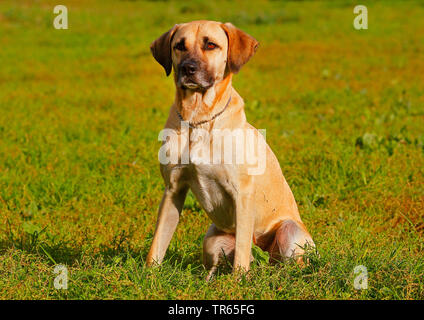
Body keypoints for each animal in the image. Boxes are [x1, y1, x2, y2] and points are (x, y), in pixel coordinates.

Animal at [147, 20, 314, 280]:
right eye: (179, 46)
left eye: (211, 45)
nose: (188, 68)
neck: (199, 119)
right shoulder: (173, 189)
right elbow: (157, 242)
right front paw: (148, 276)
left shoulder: (242, 194)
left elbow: (241, 257)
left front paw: (238, 283)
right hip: (212, 240)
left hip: (289, 232)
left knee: (283, 263)